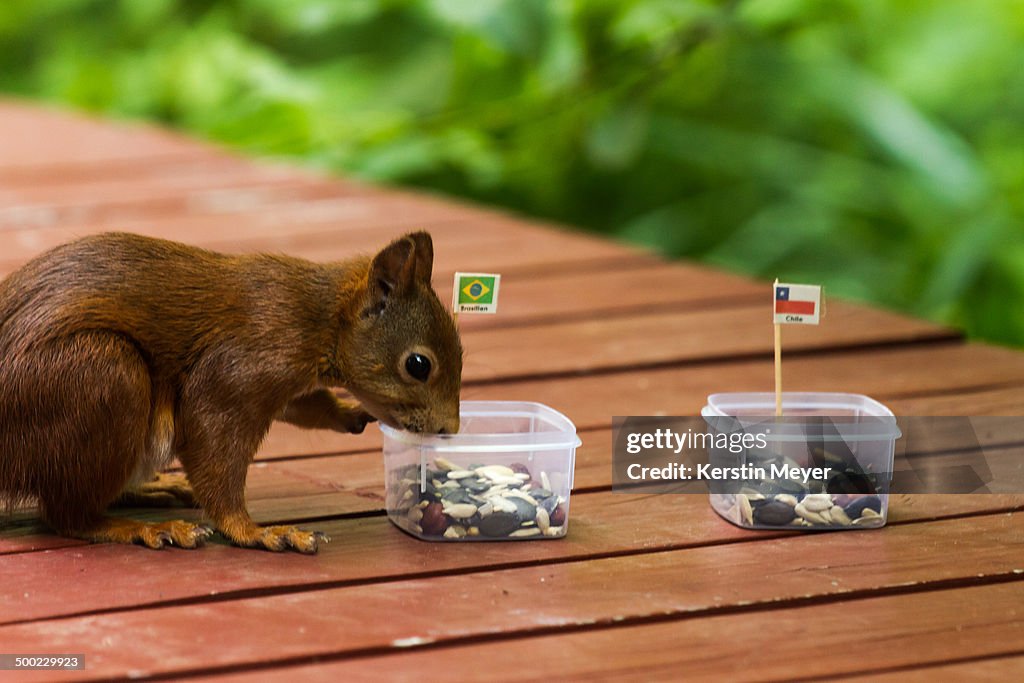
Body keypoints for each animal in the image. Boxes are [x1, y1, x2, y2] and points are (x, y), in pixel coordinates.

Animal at [0, 232, 462, 552]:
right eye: (418, 365)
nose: (450, 429)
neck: (319, 318)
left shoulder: (290, 384)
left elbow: (304, 405)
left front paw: (349, 413)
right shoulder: (243, 365)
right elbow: (213, 445)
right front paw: (255, 532)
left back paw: (148, 490)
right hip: (101, 373)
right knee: (66, 514)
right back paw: (142, 527)